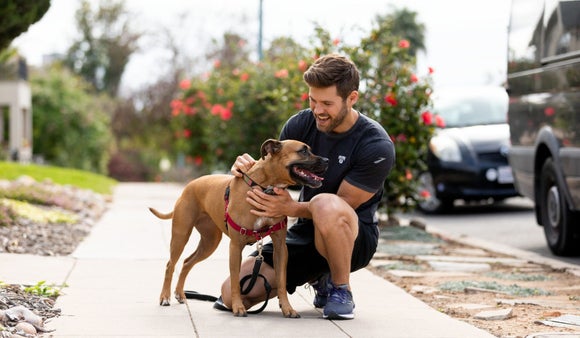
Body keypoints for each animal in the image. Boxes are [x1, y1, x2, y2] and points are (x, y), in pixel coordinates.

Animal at [150, 139, 328, 318]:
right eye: (303, 151)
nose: (327, 161)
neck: (264, 186)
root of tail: (190, 185)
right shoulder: (235, 247)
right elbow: (235, 281)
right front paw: (238, 307)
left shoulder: (280, 248)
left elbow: (281, 281)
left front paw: (287, 308)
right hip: (181, 235)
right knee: (170, 265)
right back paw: (165, 297)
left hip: (209, 243)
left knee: (187, 262)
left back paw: (180, 294)